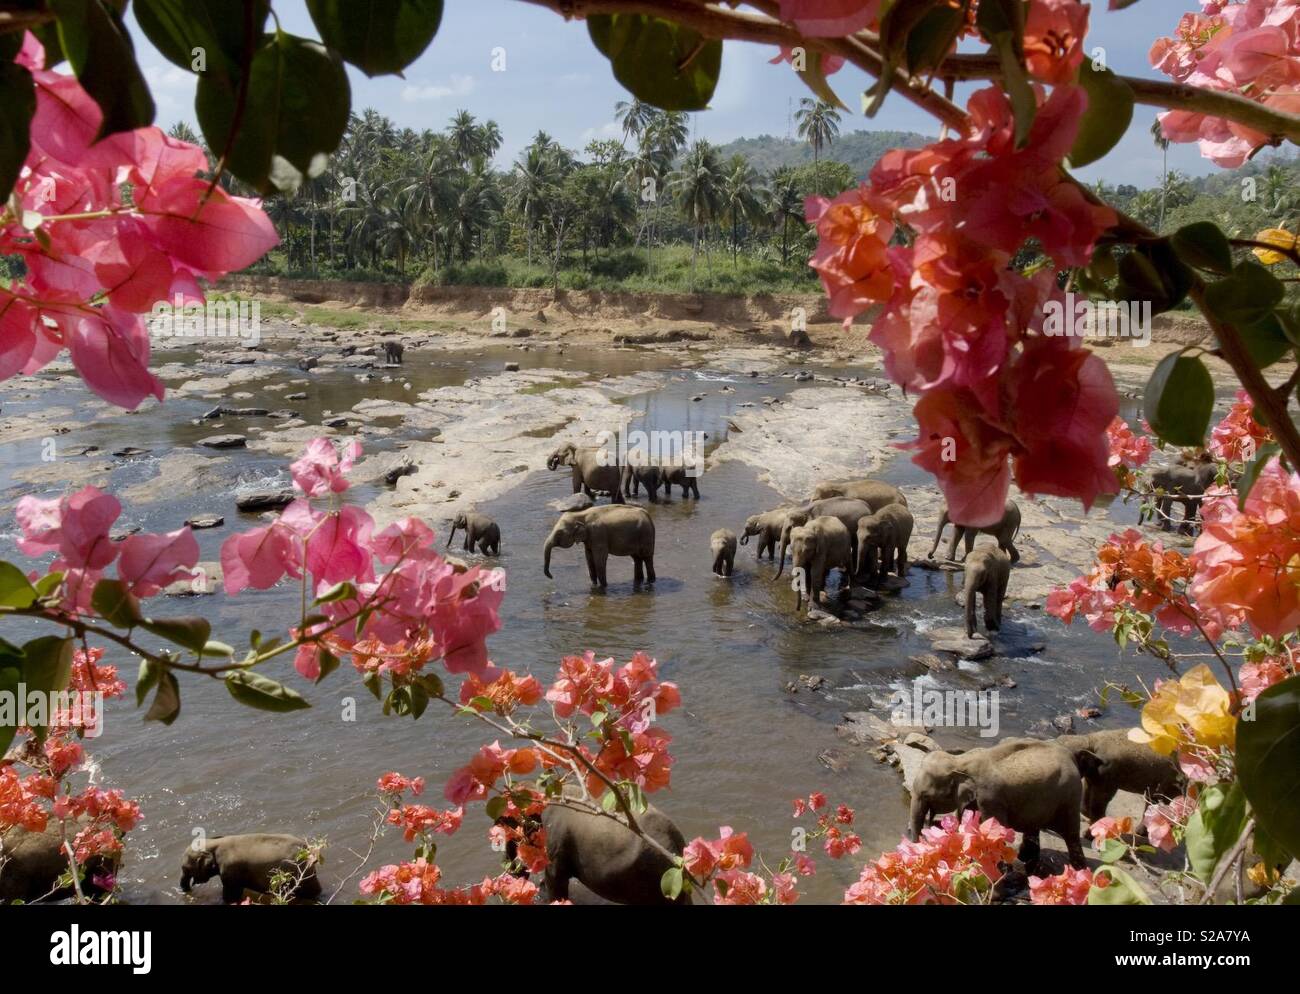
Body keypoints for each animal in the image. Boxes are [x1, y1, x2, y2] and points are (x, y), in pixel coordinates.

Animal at [179, 831, 321, 899]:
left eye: (186, 869)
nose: (187, 892)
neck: (213, 843)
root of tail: (309, 851)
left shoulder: (230, 870)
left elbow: (231, 895)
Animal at [909, 738, 1092, 867]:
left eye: (925, 795)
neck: (961, 760)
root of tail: (1071, 756)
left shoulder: (990, 798)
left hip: (1069, 798)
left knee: (1071, 835)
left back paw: (1079, 869)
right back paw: (1025, 860)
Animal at [1055, 727, 1190, 821]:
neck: (1089, 739)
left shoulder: (1108, 771)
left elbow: (1103, 796)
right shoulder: (1095, 773)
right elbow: (1088, 787)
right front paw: (1086, 813)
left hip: (1171, 783)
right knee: (1152, 801)